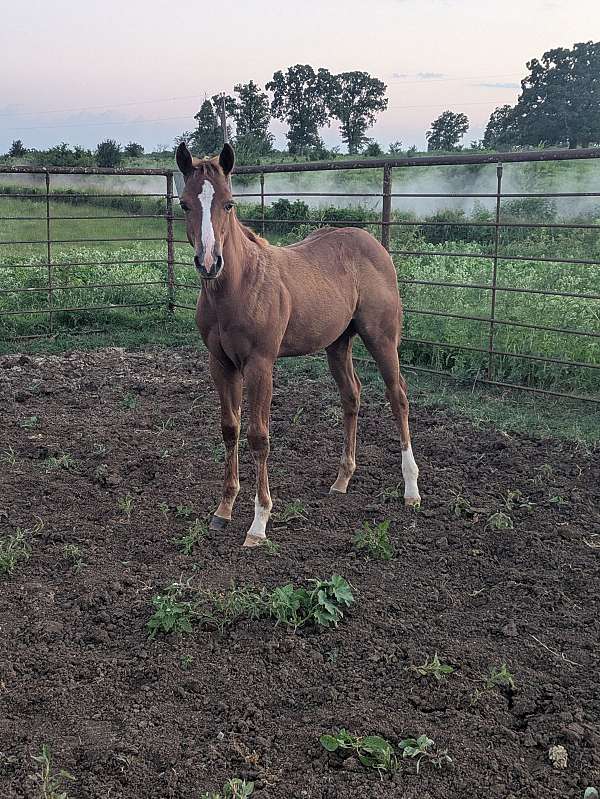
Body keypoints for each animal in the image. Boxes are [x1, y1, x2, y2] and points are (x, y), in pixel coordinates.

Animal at [175, 142, 420, 547]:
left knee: (398, 395)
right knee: (351, 395)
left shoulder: (260, 364)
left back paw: (411, 489)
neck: (238, 286)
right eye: (184, 204)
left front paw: (258, 523)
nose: (209, 263)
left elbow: (258, 436)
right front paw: (223, 510)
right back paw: (342, 480)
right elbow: (230, 429)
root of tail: (375, 244)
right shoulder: (220, 363)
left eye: (228, 203)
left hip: (382, 338)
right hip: (338, 343)